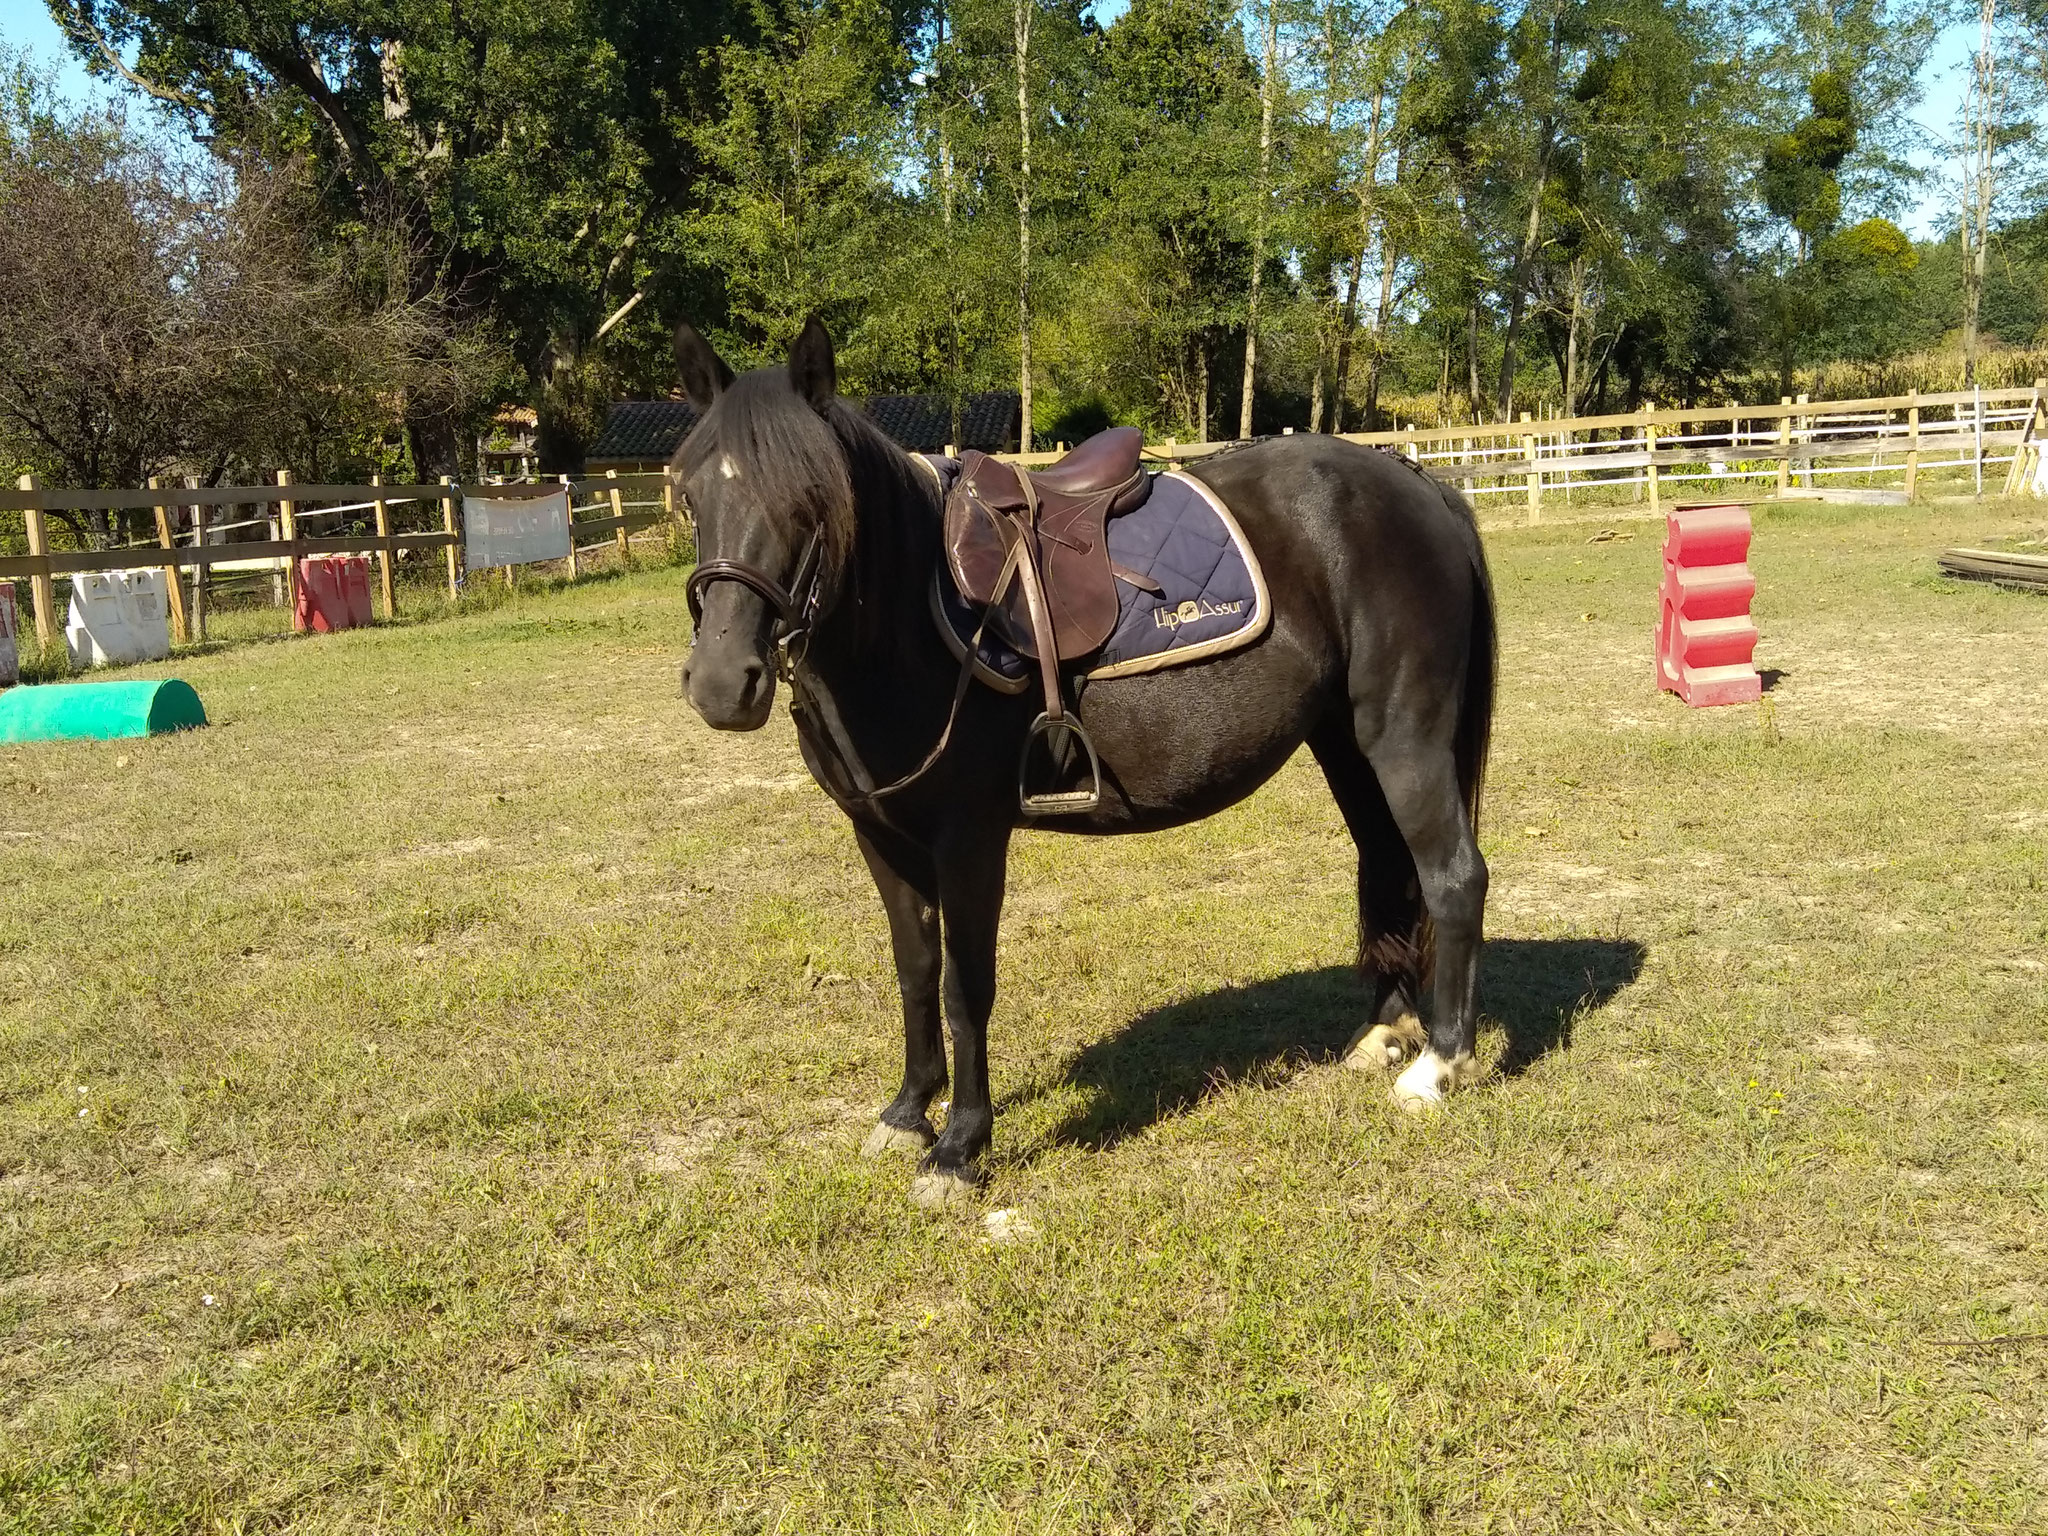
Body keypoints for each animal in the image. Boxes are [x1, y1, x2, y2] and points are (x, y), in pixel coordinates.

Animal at [679, 321, 1499, 1212]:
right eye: (689, 496)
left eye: (809, 498)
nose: (722, 684)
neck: (911, 620)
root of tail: (1419, 484)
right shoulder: (881, 837)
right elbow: (915, 972)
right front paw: (906, 1114)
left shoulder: (969, 840)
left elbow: (967, 988)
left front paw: (959, 1148)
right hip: (1347, 743)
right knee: (1389, 864)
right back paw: (1387, 1034)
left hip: (1405, 737)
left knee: (1453, 876)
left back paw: (1438, 1067)